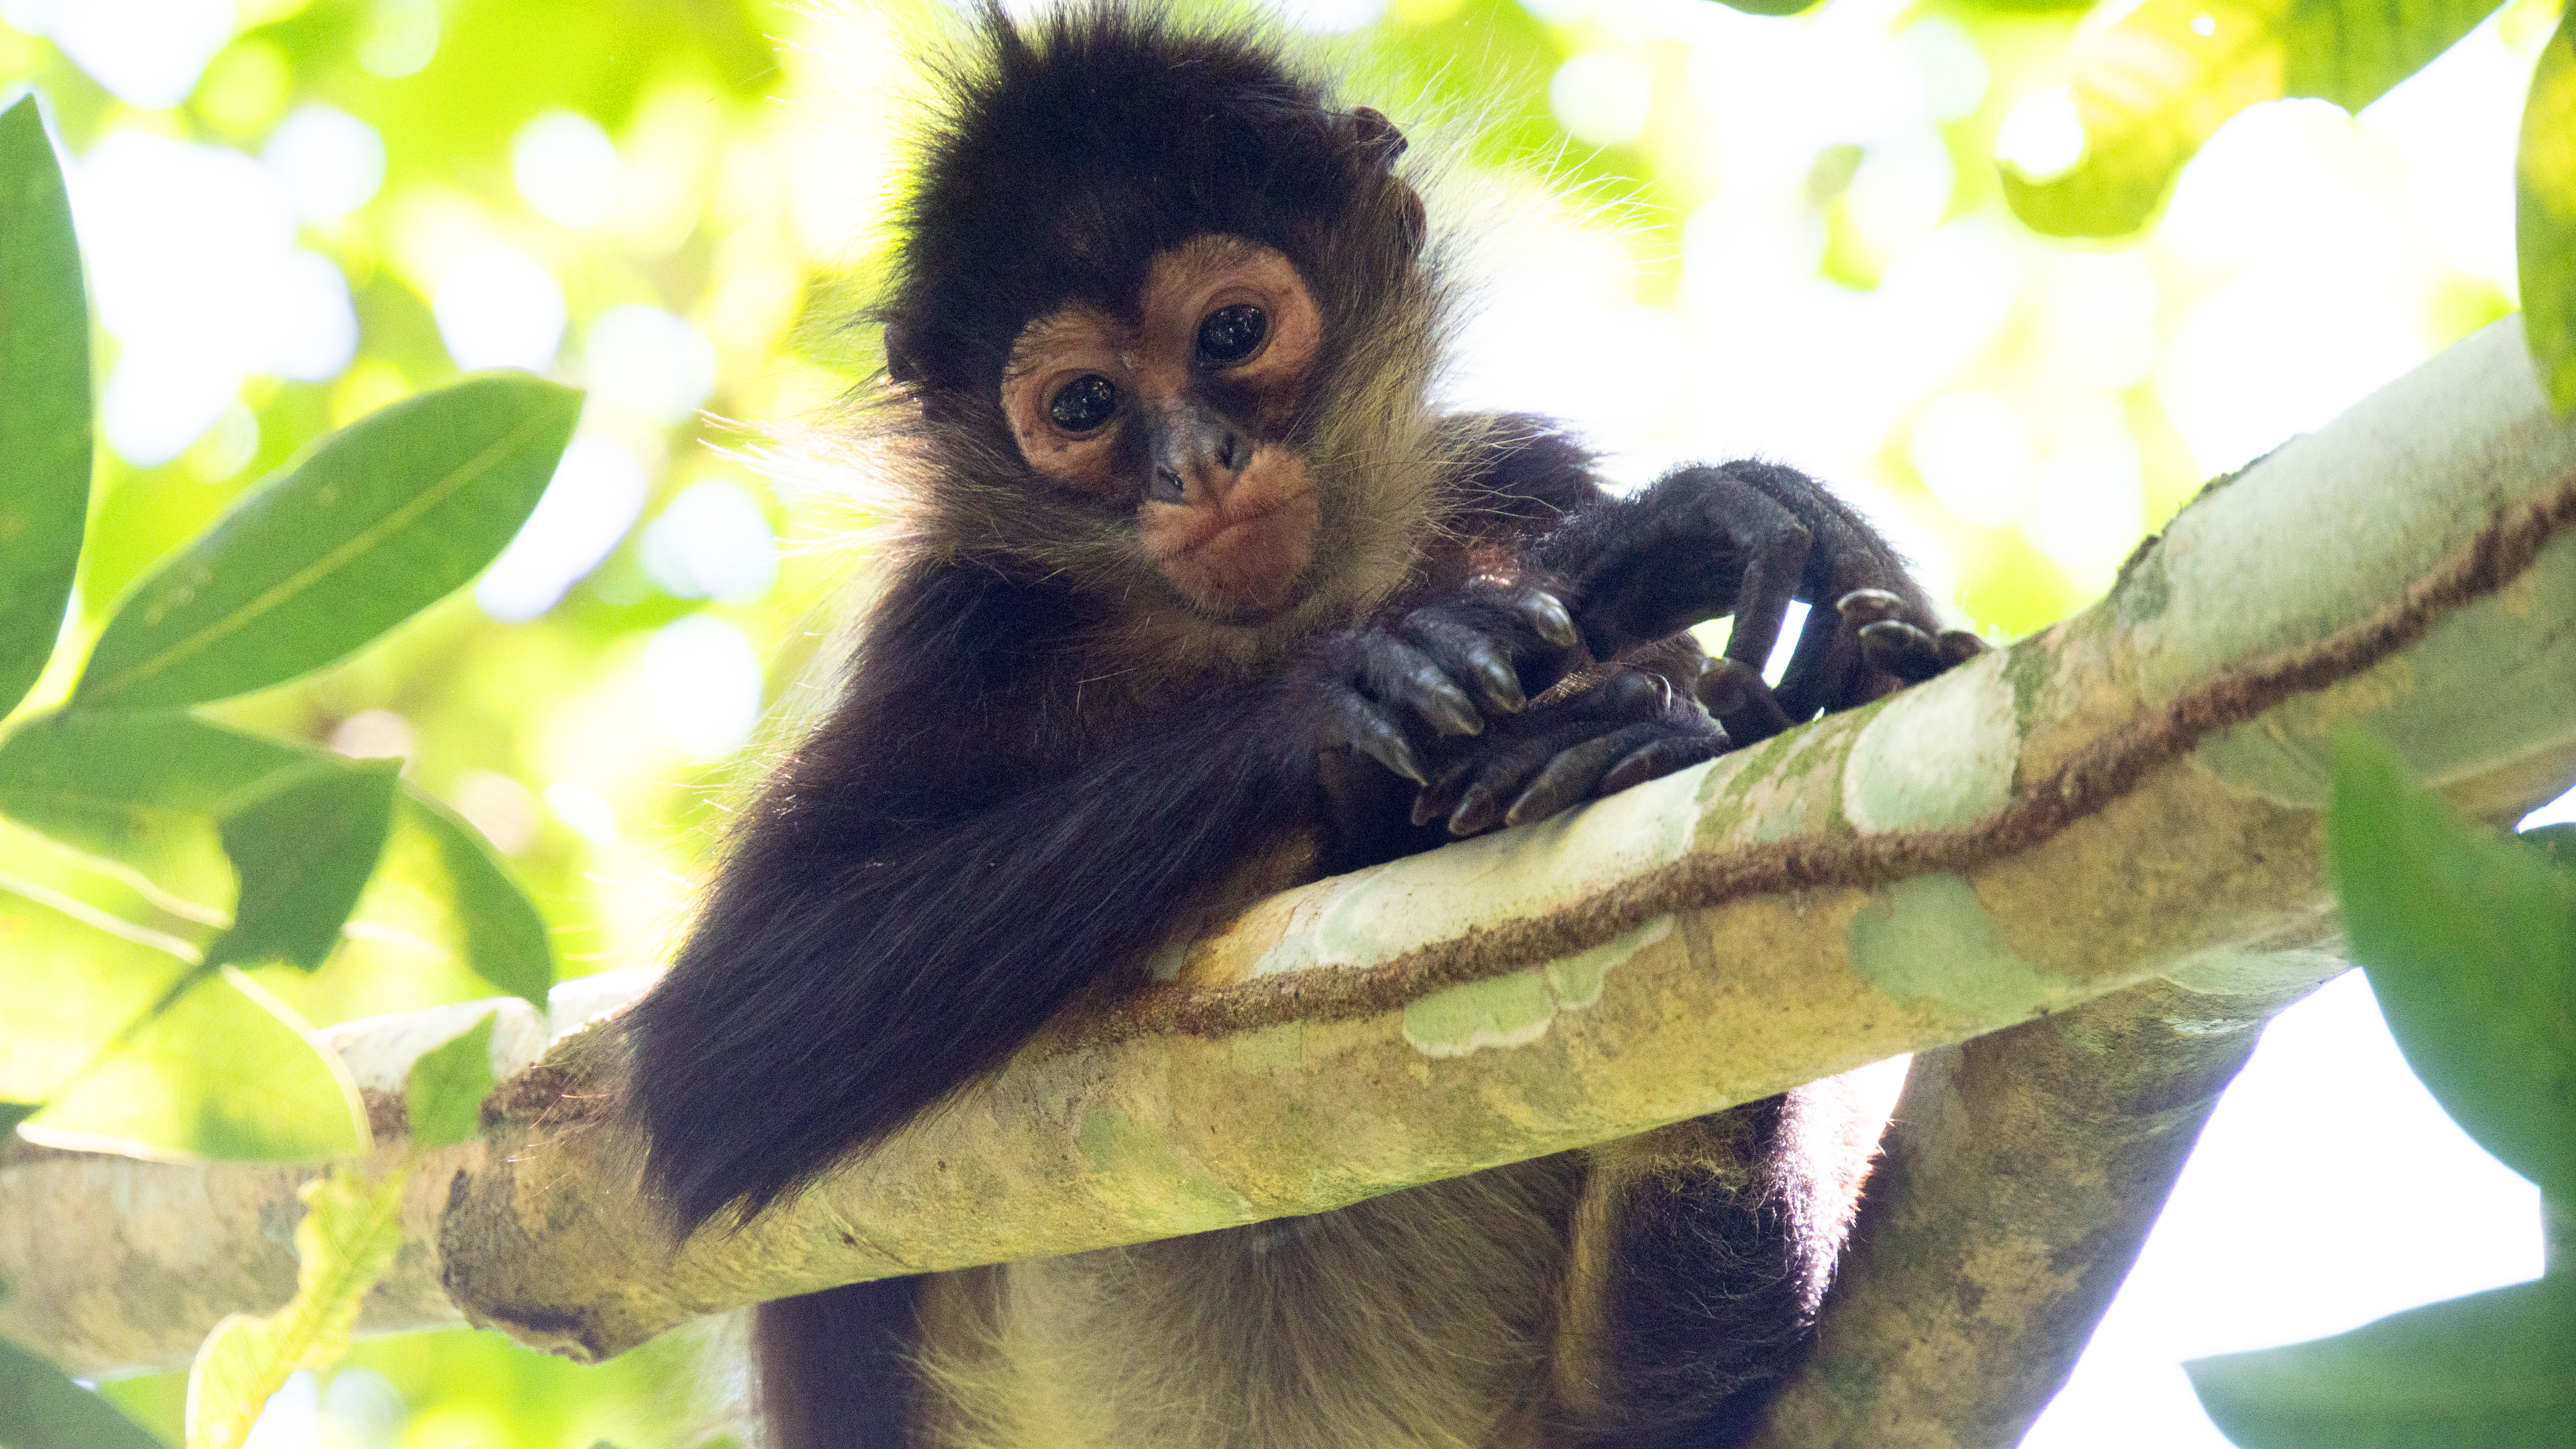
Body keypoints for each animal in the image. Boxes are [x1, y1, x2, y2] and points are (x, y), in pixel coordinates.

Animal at [623, 9, 1980, 1448]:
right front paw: (1362, 690)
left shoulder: (1516, 468)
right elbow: (717, 1054)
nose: (1196, 464)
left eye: (1231, 331)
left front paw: (1662, 581)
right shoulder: (957, 621)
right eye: (1085, 407)